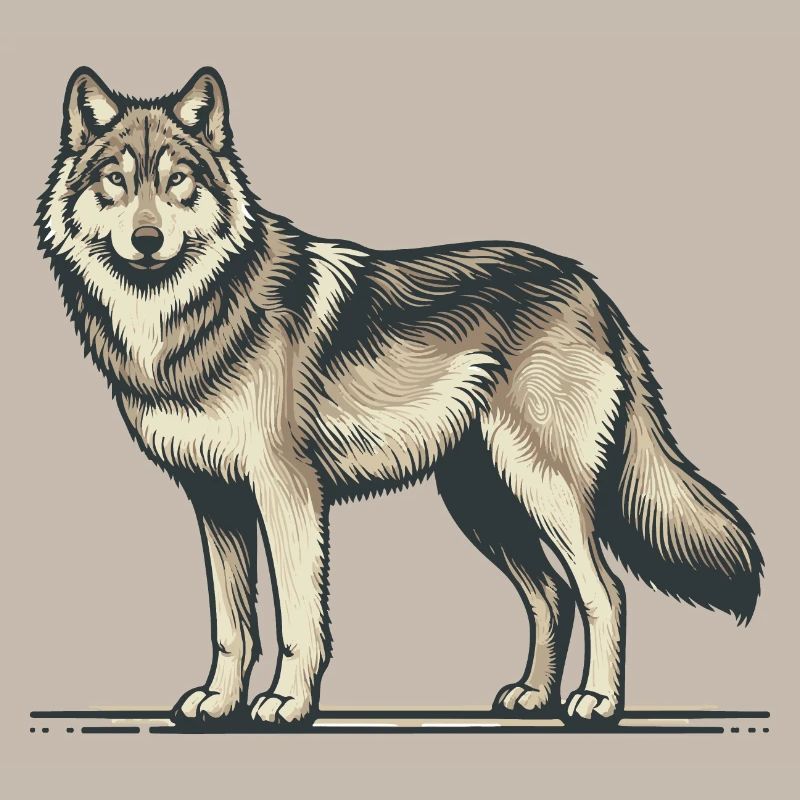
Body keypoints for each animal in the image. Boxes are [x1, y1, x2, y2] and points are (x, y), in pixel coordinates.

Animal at [37, 67, 762, 728]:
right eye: (116, 180)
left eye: (178, 179)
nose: (147, 240)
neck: (183, 315)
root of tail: (588, 284)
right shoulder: (215, 500)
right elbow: (232, 625)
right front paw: (218, 703)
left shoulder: (286, 492)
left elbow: (298, 619)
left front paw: (287, 704)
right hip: (483, 503)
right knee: (551, 595)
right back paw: (532, 697)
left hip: (542, 488)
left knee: (604, 592)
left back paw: (598, 703)